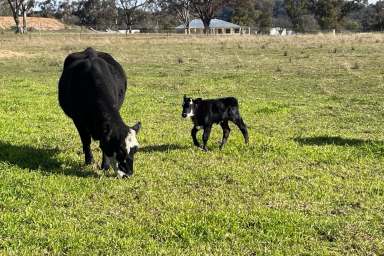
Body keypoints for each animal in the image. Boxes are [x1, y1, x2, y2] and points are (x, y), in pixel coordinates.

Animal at [58, 47, 140, 177]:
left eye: (135, 150)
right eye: (120, 149)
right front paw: (89, 160)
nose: (128, 174)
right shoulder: (78, 120)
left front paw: (105, 166)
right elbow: (86, 140)